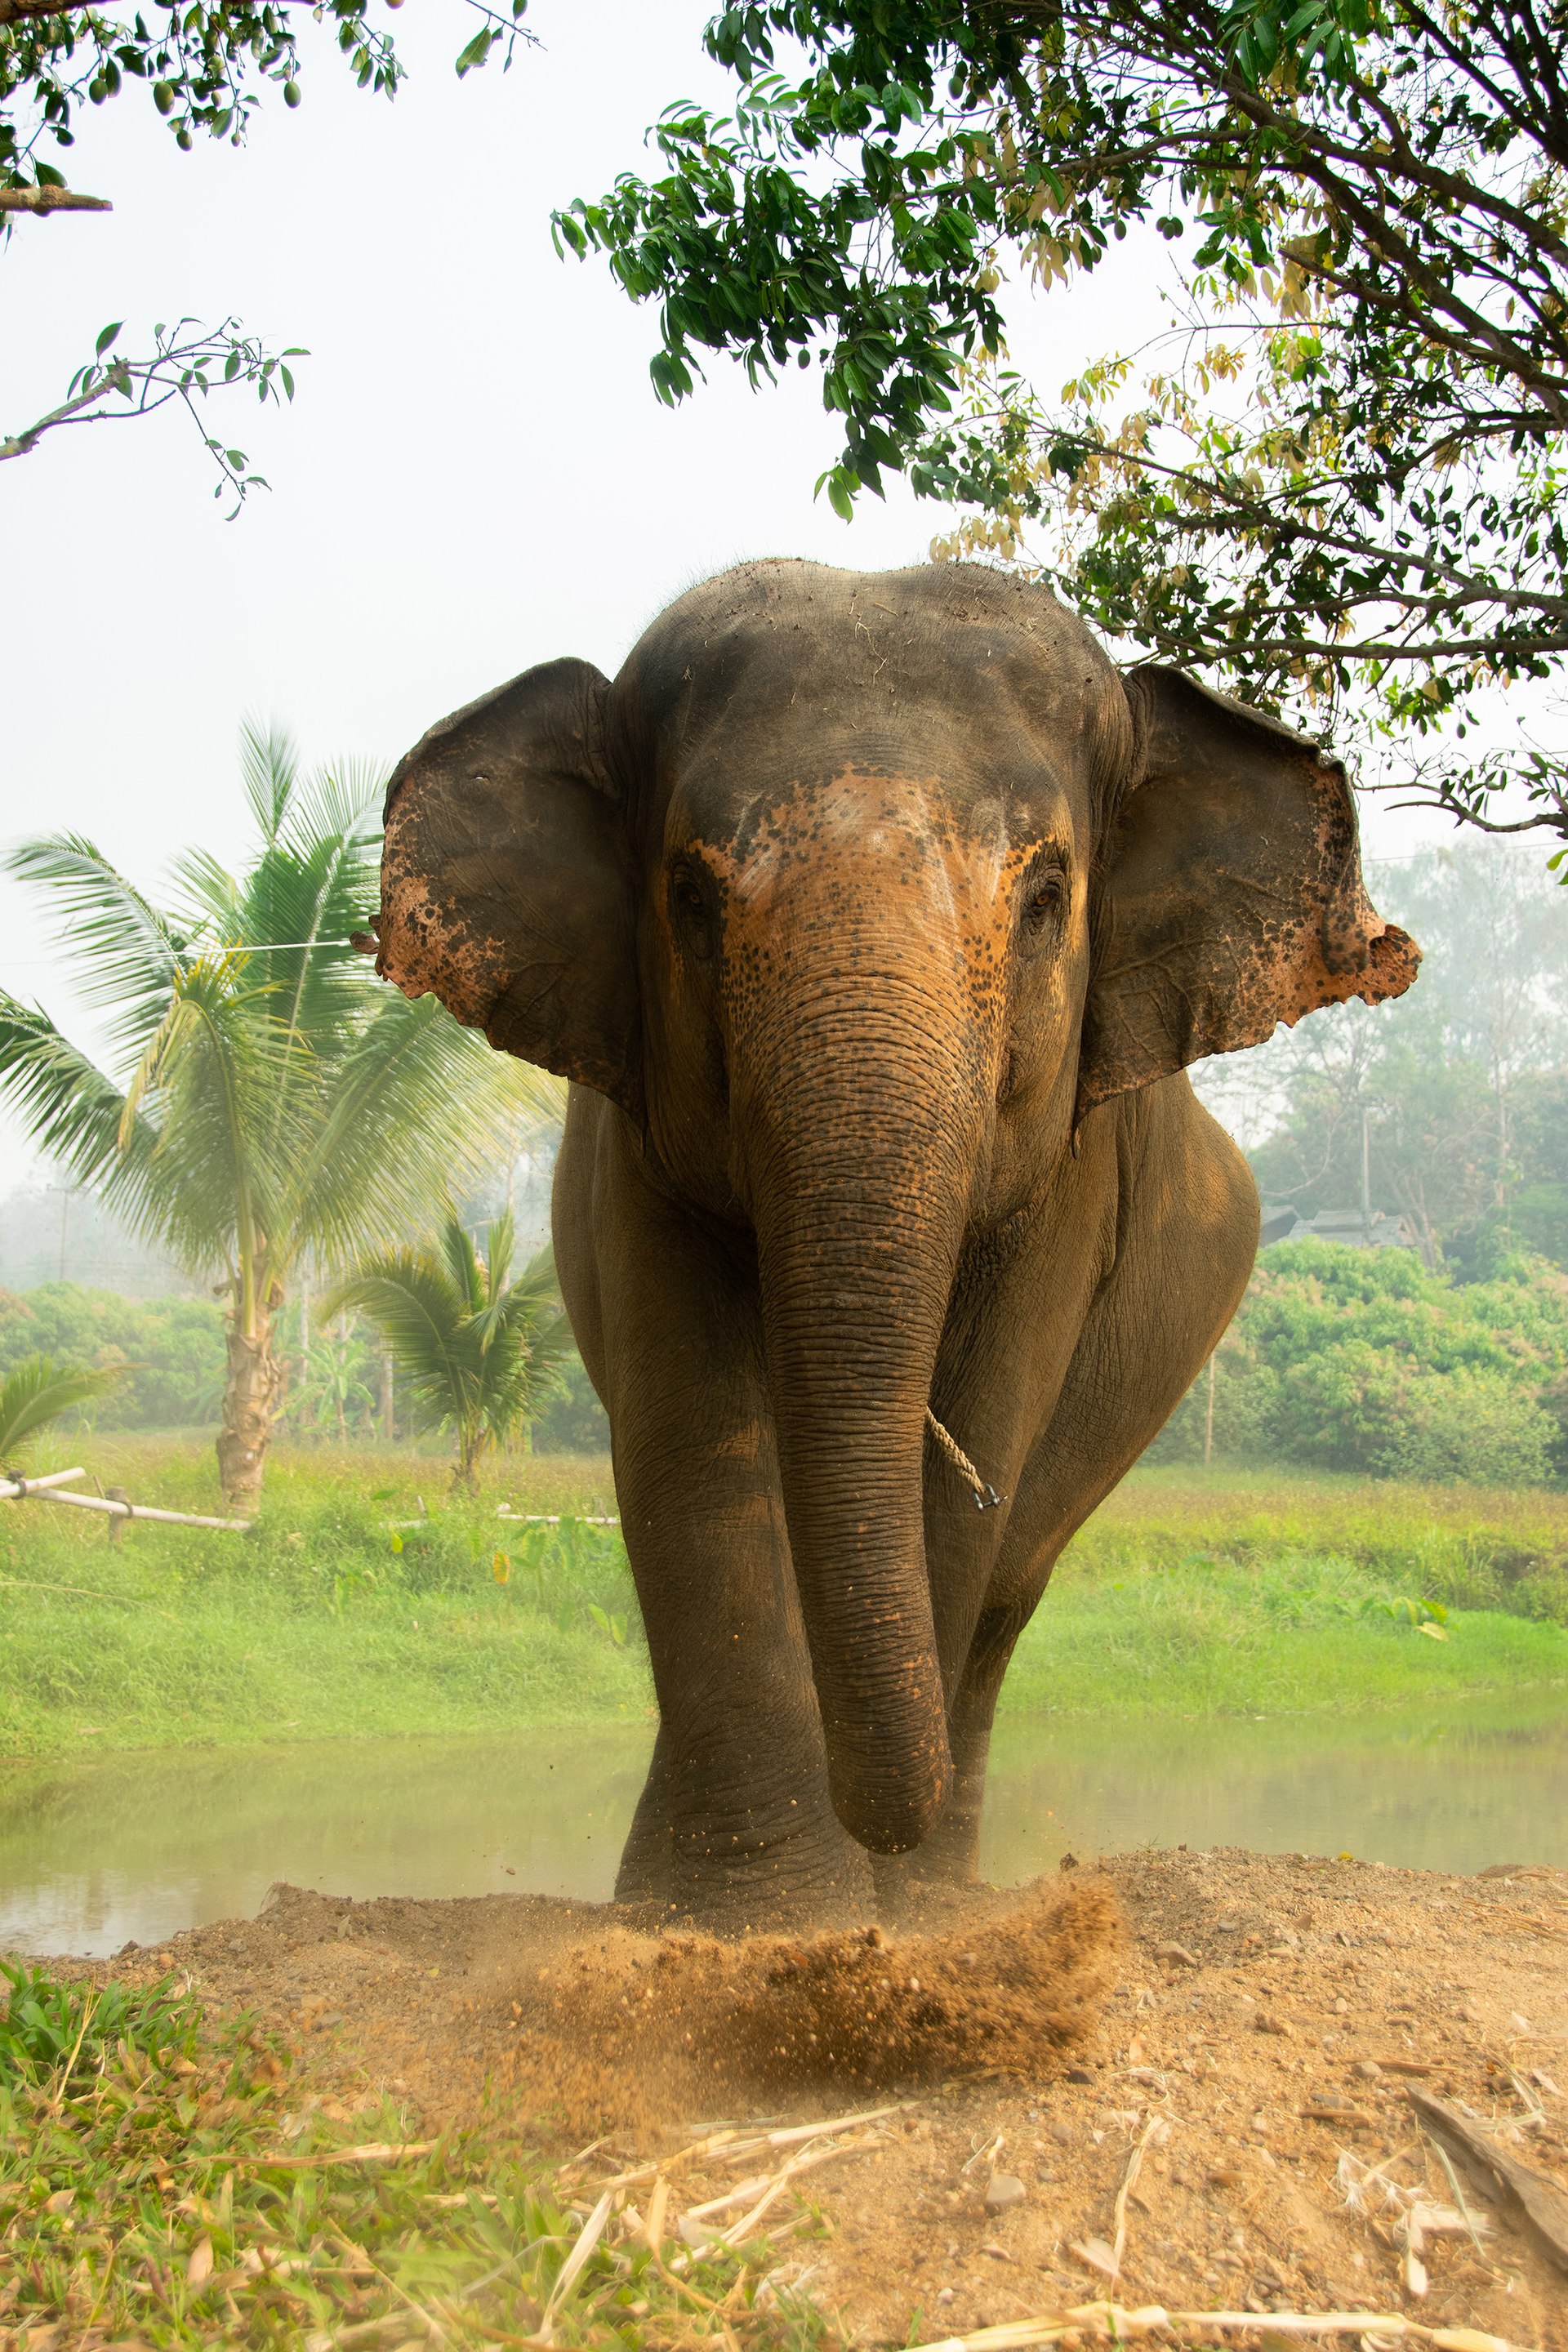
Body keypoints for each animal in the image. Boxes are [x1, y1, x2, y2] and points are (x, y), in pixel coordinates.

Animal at [375, 560, 1419, 1929]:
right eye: (689, 897)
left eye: (1047, 898)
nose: (870, 1824)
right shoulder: (638, 1143)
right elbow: (694, 1440)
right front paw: (748, 1921)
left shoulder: (1064, 1174)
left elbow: (969, 1442)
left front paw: (864, 1917)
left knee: (1007, 1592)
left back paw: (937, 1897)